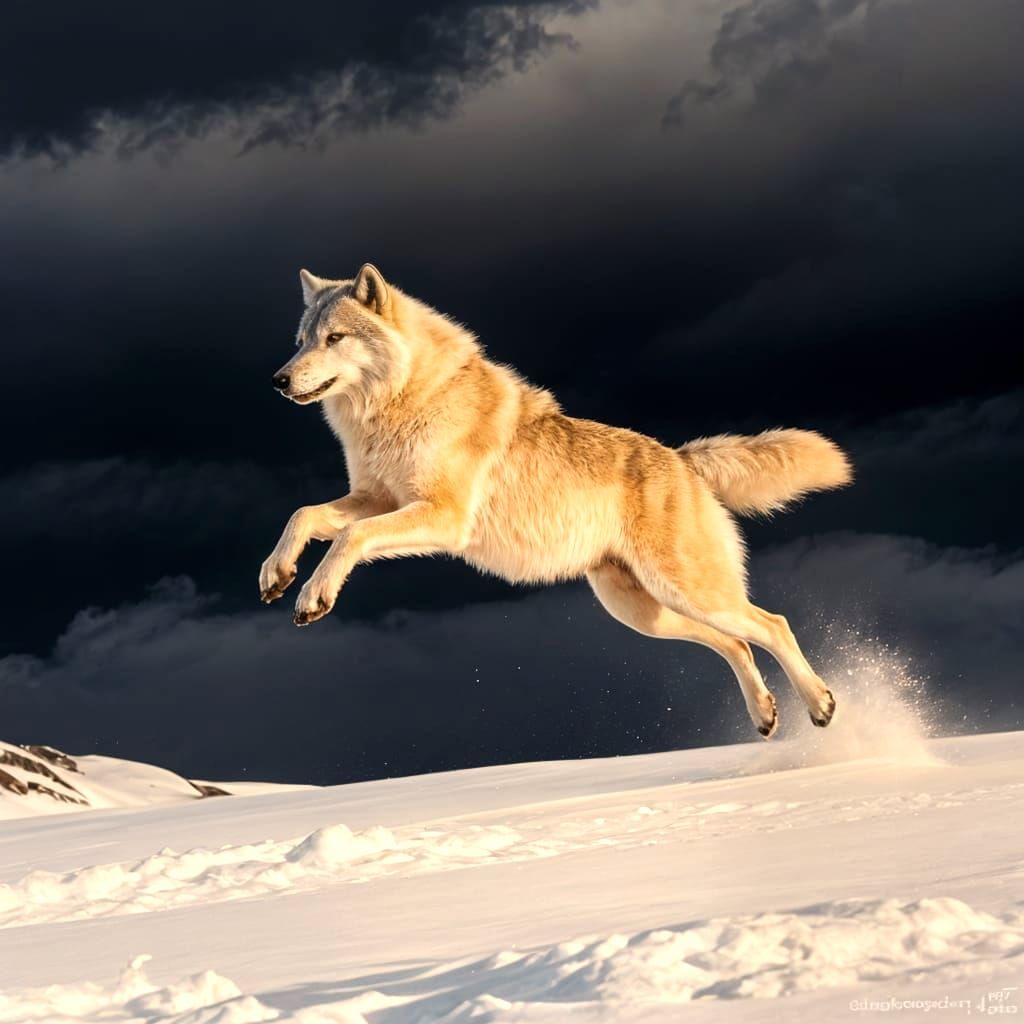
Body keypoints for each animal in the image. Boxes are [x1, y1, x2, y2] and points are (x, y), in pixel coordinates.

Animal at [260, 264, 852, 738]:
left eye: (334, 337)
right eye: (301, 339)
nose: (279, 380)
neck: (402, 403)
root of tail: (683, 459)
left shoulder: (441, 517)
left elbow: (348, 536)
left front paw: (313, 595)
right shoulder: (375, 496)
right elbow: (304, 516)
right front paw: (278, 573)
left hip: (687, 594)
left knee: (773, 624)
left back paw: (821, 706)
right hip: (645, 613)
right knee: (737, 644)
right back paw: (765, 715)